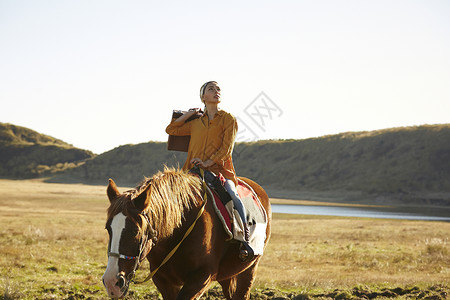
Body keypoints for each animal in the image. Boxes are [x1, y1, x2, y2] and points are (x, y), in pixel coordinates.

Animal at [102, 168, 270, 298]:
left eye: (136, 230)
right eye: (108, 228)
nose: (111, 283)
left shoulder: (201, 278)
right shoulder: (163, 280)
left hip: (249, 270)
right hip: (228, 275)